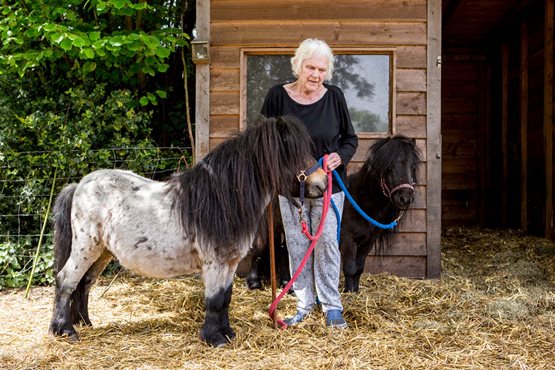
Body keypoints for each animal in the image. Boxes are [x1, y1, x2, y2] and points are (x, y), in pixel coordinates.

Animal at [48, 115, 326, 346]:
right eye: (291, 153)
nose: (323, 183)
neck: (221, 199)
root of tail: (79, 185)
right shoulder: (215, 263)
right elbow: (214, 300)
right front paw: (215, 338)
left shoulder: (229, 264)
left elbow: (225, 298)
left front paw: (227, 333)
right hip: (86, 248)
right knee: (65, 280)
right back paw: (65, 330)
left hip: (102, 252)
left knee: (83, 283)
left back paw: (85, 322)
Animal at [338, 134, 422, 294]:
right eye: (389, 168)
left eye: (413, 167)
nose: (405, 199)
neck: (358, 202)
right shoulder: (348, 241)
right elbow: (350, 269)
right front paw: (349, 293)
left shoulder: (367, 242)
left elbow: (358, 269)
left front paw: (356, 291)